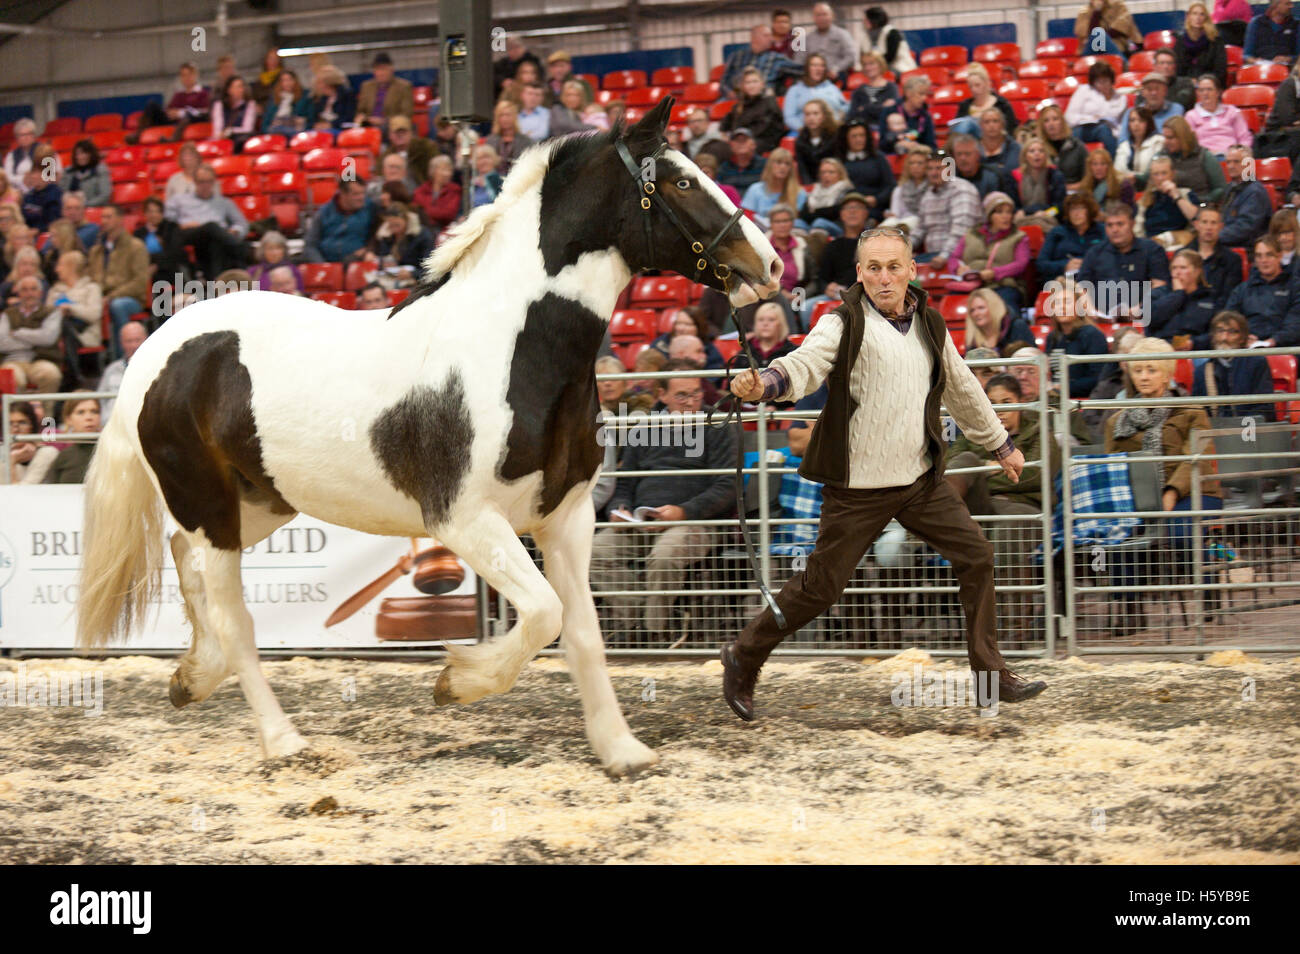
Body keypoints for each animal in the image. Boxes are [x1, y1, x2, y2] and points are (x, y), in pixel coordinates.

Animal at [76, 98, 780, 779]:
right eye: (682, 180)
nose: (769, 263)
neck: (513, 350)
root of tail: (154, 351)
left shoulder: (568, 518)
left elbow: (582, 633)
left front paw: (620, 750)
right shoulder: (465, 520)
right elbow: (545, 612)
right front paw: (458, 681)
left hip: (260, 503)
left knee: (184, 557)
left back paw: (194, 676)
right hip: (214, 509)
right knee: (234, 616)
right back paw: (284, 741)